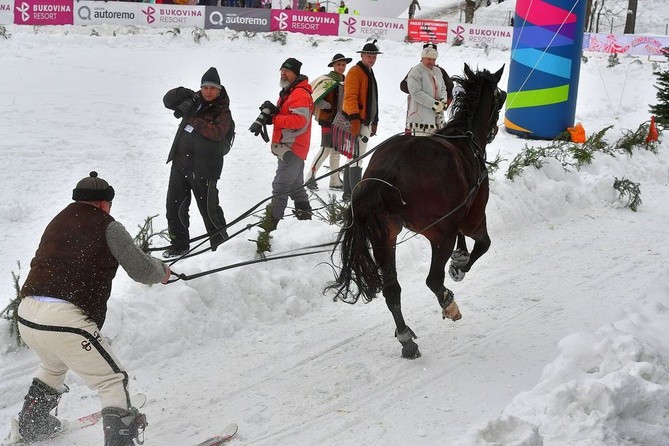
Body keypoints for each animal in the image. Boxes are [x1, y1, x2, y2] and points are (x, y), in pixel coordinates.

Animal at [326, 64, 504, 358]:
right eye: (500, 99)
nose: (494, 130)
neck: (464, 139)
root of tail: (386, 172)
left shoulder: (457, 214)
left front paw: (460, 257)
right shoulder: (473, 216)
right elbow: (483, 244)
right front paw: (460, 266)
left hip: (384, 236)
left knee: (392, 290)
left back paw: (406, 338)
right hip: (439, 235)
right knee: (433, 280)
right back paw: (448, 303)